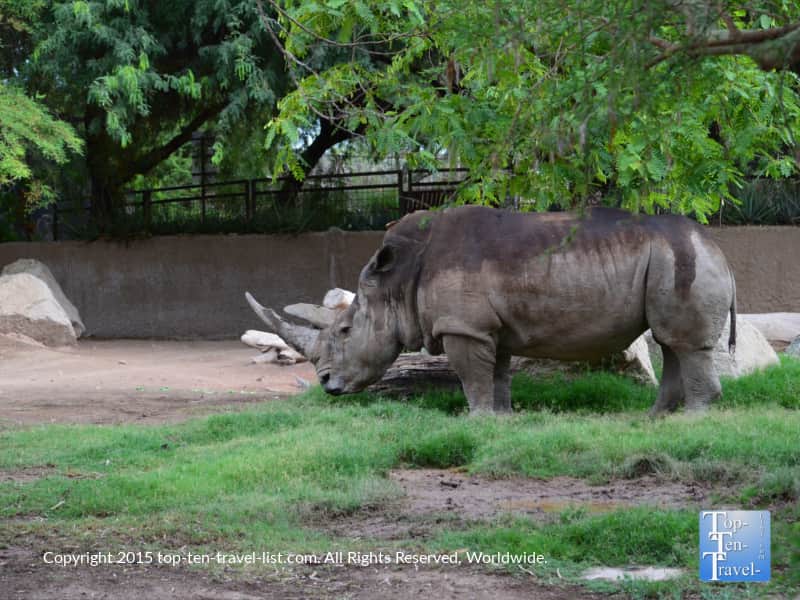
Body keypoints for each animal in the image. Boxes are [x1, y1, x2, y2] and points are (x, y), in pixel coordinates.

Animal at [246, 206, 737, 415]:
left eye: (346, 330)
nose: (326, 384)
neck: (396, 281)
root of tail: (722, 252)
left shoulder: (464, 327)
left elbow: (472, 377)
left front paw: (477, 419)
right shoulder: (489, 328)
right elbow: (497, 374)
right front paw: (502, 418)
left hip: (682, 257)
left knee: (682, 343)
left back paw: (692, 419)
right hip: (673, 259)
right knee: (671, 342)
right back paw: (655, 419)